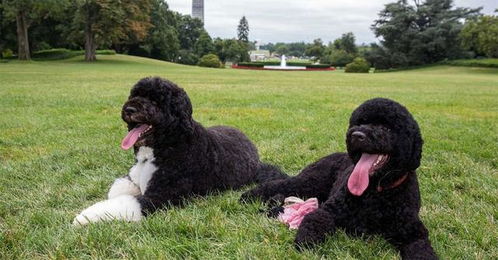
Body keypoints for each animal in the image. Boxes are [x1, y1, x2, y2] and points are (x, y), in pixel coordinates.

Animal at [72, 76, 286, 224]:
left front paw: (84, 217)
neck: (166, 145)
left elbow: (126, 202)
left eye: (156, 102)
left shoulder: (162, 196)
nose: (129, 110)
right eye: (135, 95)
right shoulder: (133, 178)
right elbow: (118, 190)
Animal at [241, 98, 436, 258]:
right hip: (309, 182)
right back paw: (248, 196)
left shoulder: (413, 233)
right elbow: (314, 221)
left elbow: (422, 250)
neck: (376, 192)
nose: (357, 135)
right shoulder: (328, 211)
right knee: (279, 184)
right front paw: (305, 244)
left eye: (386, 128)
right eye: (360, 122)